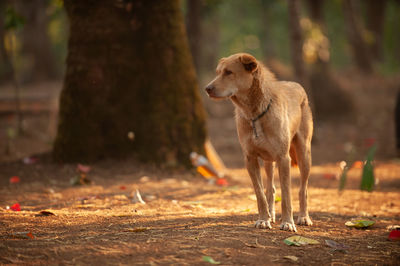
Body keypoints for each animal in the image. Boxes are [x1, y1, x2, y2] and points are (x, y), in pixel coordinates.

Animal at [206, 52, 312, 231]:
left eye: (228, 72)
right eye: (218, 72)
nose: (207, 89)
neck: (254, 114)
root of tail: (297, 85)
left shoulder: (284, 159)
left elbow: (287, 196)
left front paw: (288, 222)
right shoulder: (250, 159)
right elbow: (260, 193)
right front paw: (264, 219)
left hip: (303, 155)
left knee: (302, 190)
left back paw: (303, 217)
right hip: (269, 161)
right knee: (271, 188)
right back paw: (271, 215)